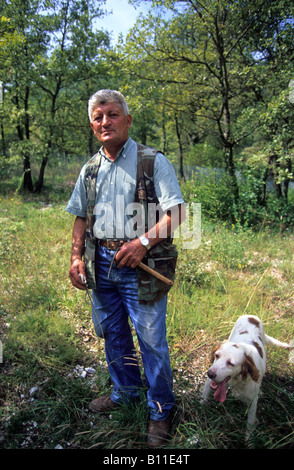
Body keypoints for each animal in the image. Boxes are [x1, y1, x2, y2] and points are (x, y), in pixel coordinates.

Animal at [201, 314, 290, 442]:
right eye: (217, 355)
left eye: (231, 363)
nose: (210, 373)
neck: (237, 380)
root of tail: (251, 316)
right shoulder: (211, 380)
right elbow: (205, 395)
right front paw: (201, 407)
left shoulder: (253, 401)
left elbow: (250, 422)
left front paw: (249, 440)